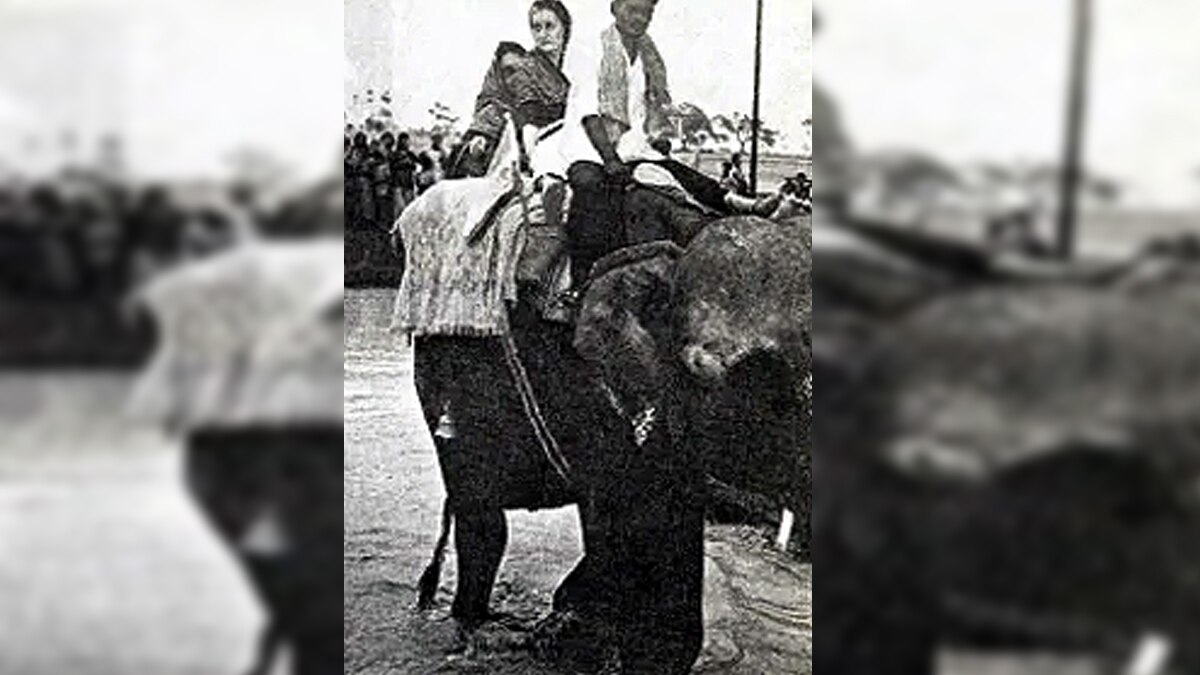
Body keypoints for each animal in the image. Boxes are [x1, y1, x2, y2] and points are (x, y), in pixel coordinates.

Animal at [409, 185, 808, 674]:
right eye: (757, 382)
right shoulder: (590, 383)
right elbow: (631, 516)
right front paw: (575, 638)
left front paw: (569, 626)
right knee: (482, 520)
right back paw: (473, 630)